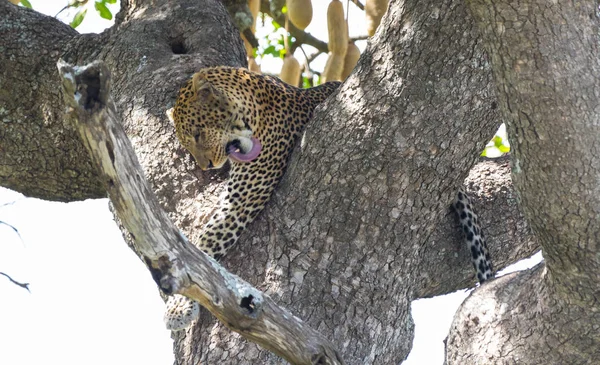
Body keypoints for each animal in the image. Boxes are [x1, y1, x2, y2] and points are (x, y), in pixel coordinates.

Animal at [163, 66, 492, 330]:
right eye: (187, 142)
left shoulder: (243, 198)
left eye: (197, 133)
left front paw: (177, 308)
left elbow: (204, 245)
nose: (207, 166)